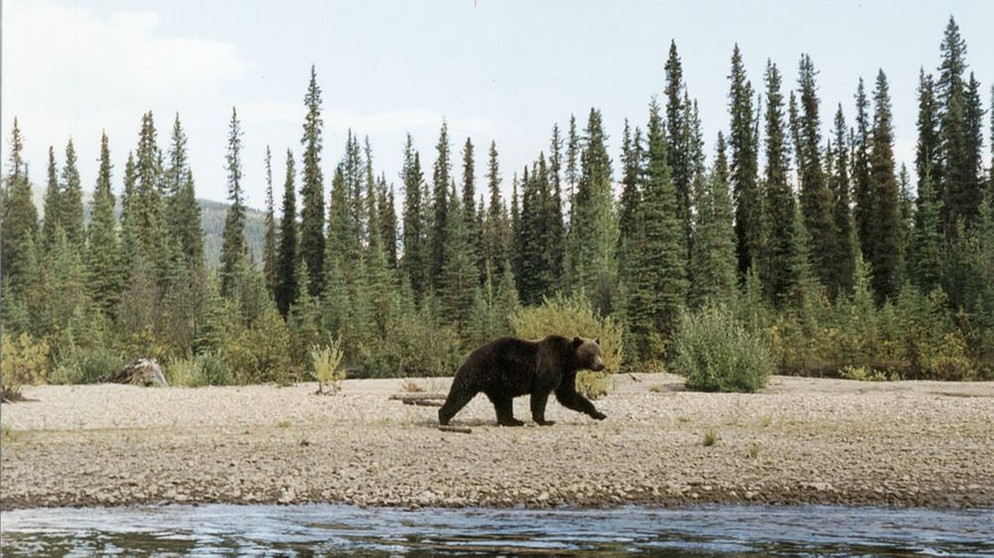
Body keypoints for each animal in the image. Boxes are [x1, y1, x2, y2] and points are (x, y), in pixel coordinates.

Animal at [438, 336, 608, 428]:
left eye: (600, 353)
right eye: (590, 354)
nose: (601, 365)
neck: (567, 360)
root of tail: (469, 354)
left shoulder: (566, 375)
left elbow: (568, 395)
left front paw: (599, 414)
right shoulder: (549, 366)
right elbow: (541, 393)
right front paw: (545, 420)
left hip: (498, 382)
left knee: (503, 401)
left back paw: (513, 420)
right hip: (482, 371)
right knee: (461, 392)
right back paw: (443, 417)